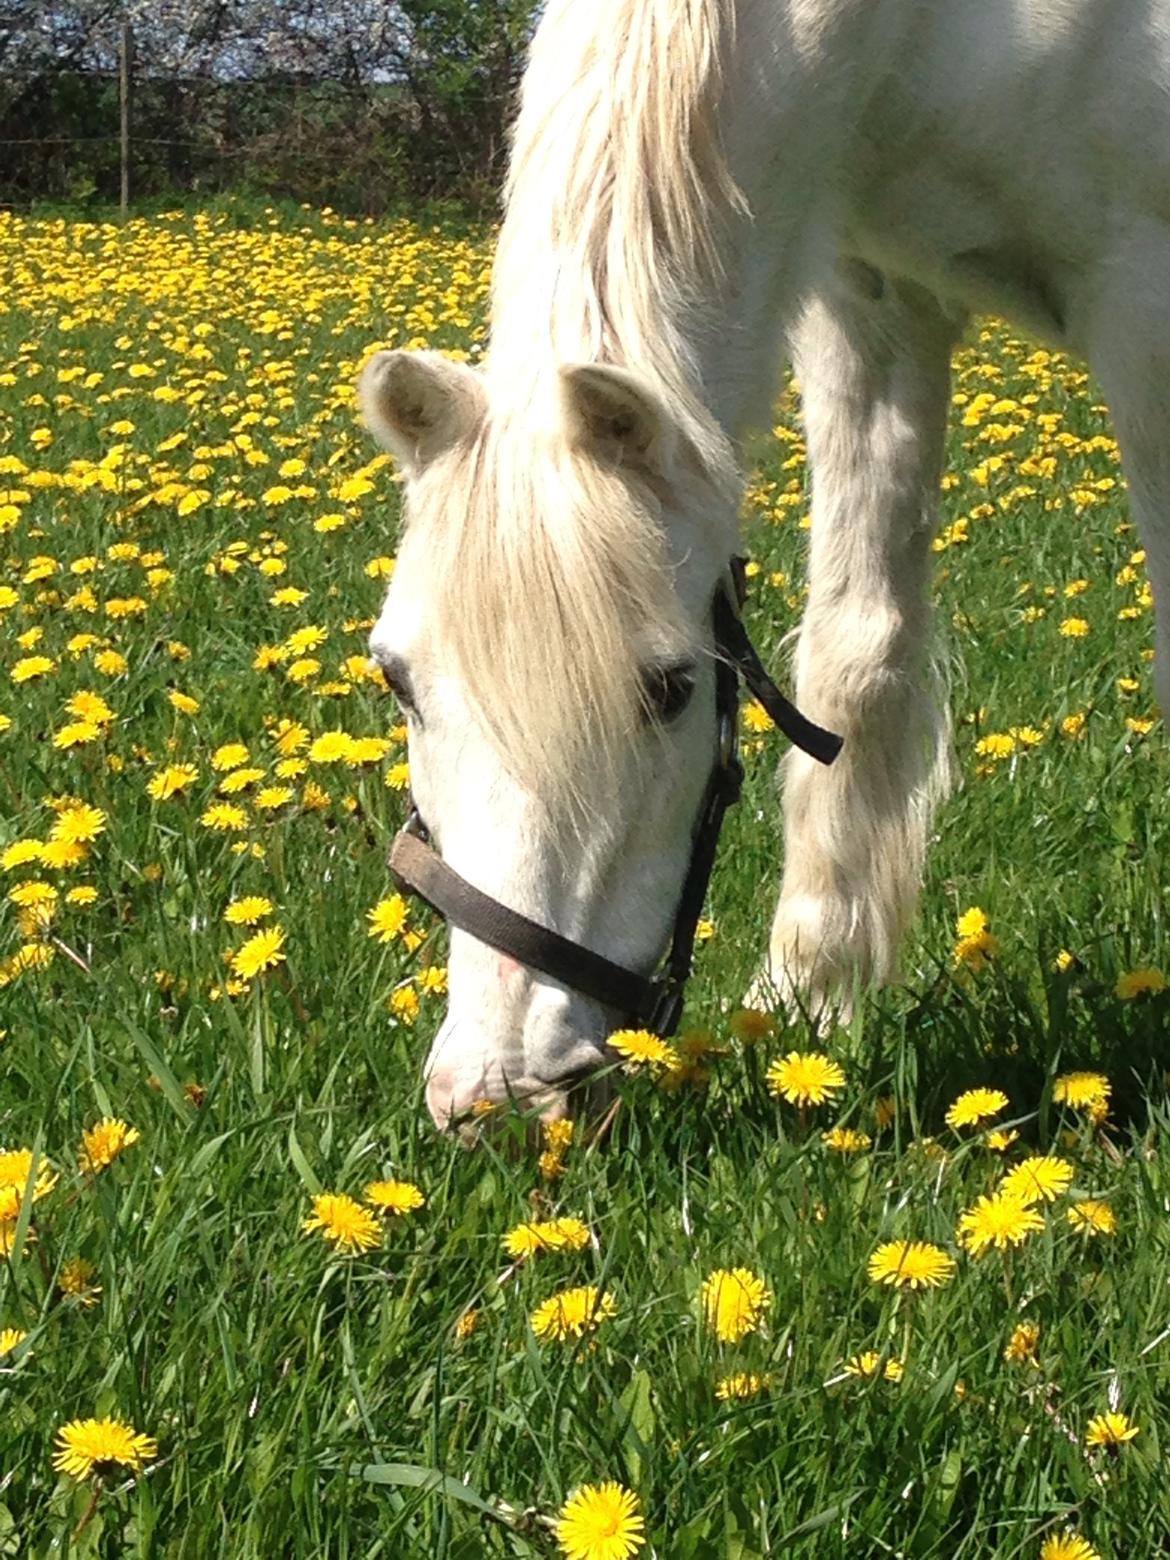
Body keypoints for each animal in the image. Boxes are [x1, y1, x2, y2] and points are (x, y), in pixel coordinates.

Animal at [361, 0, 1170, 1130]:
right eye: (397, 678)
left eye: (669, 688)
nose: (504, 1096)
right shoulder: (869, 304)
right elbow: (858, 653)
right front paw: (809, 997)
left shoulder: (1145, 310)